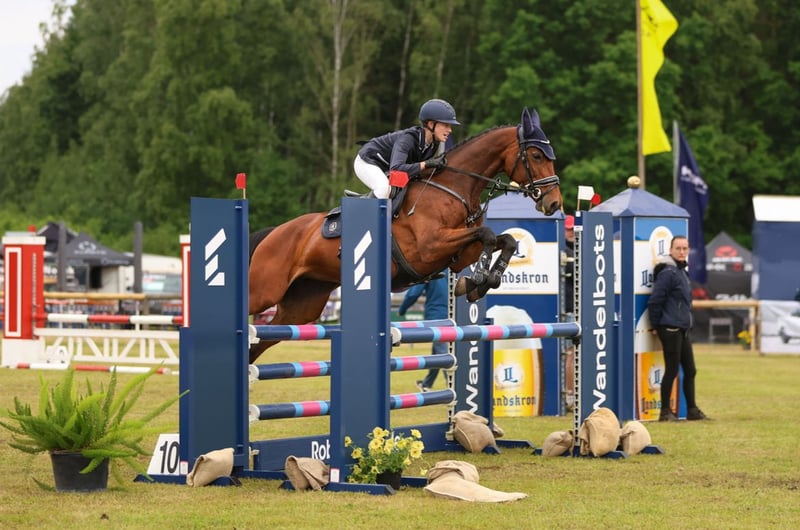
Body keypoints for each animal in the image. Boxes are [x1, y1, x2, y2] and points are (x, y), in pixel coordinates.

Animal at [248, 107, 562, 363]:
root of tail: (274, 232)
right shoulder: (431, 247)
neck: (453, 188)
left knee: (262, 340)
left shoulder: (460, 252)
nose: (554, 203)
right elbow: (486, 234)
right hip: (265, 290)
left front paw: (480, 282)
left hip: (303, 303)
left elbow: (504, 239)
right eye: (536, 155)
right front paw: (478, 279)